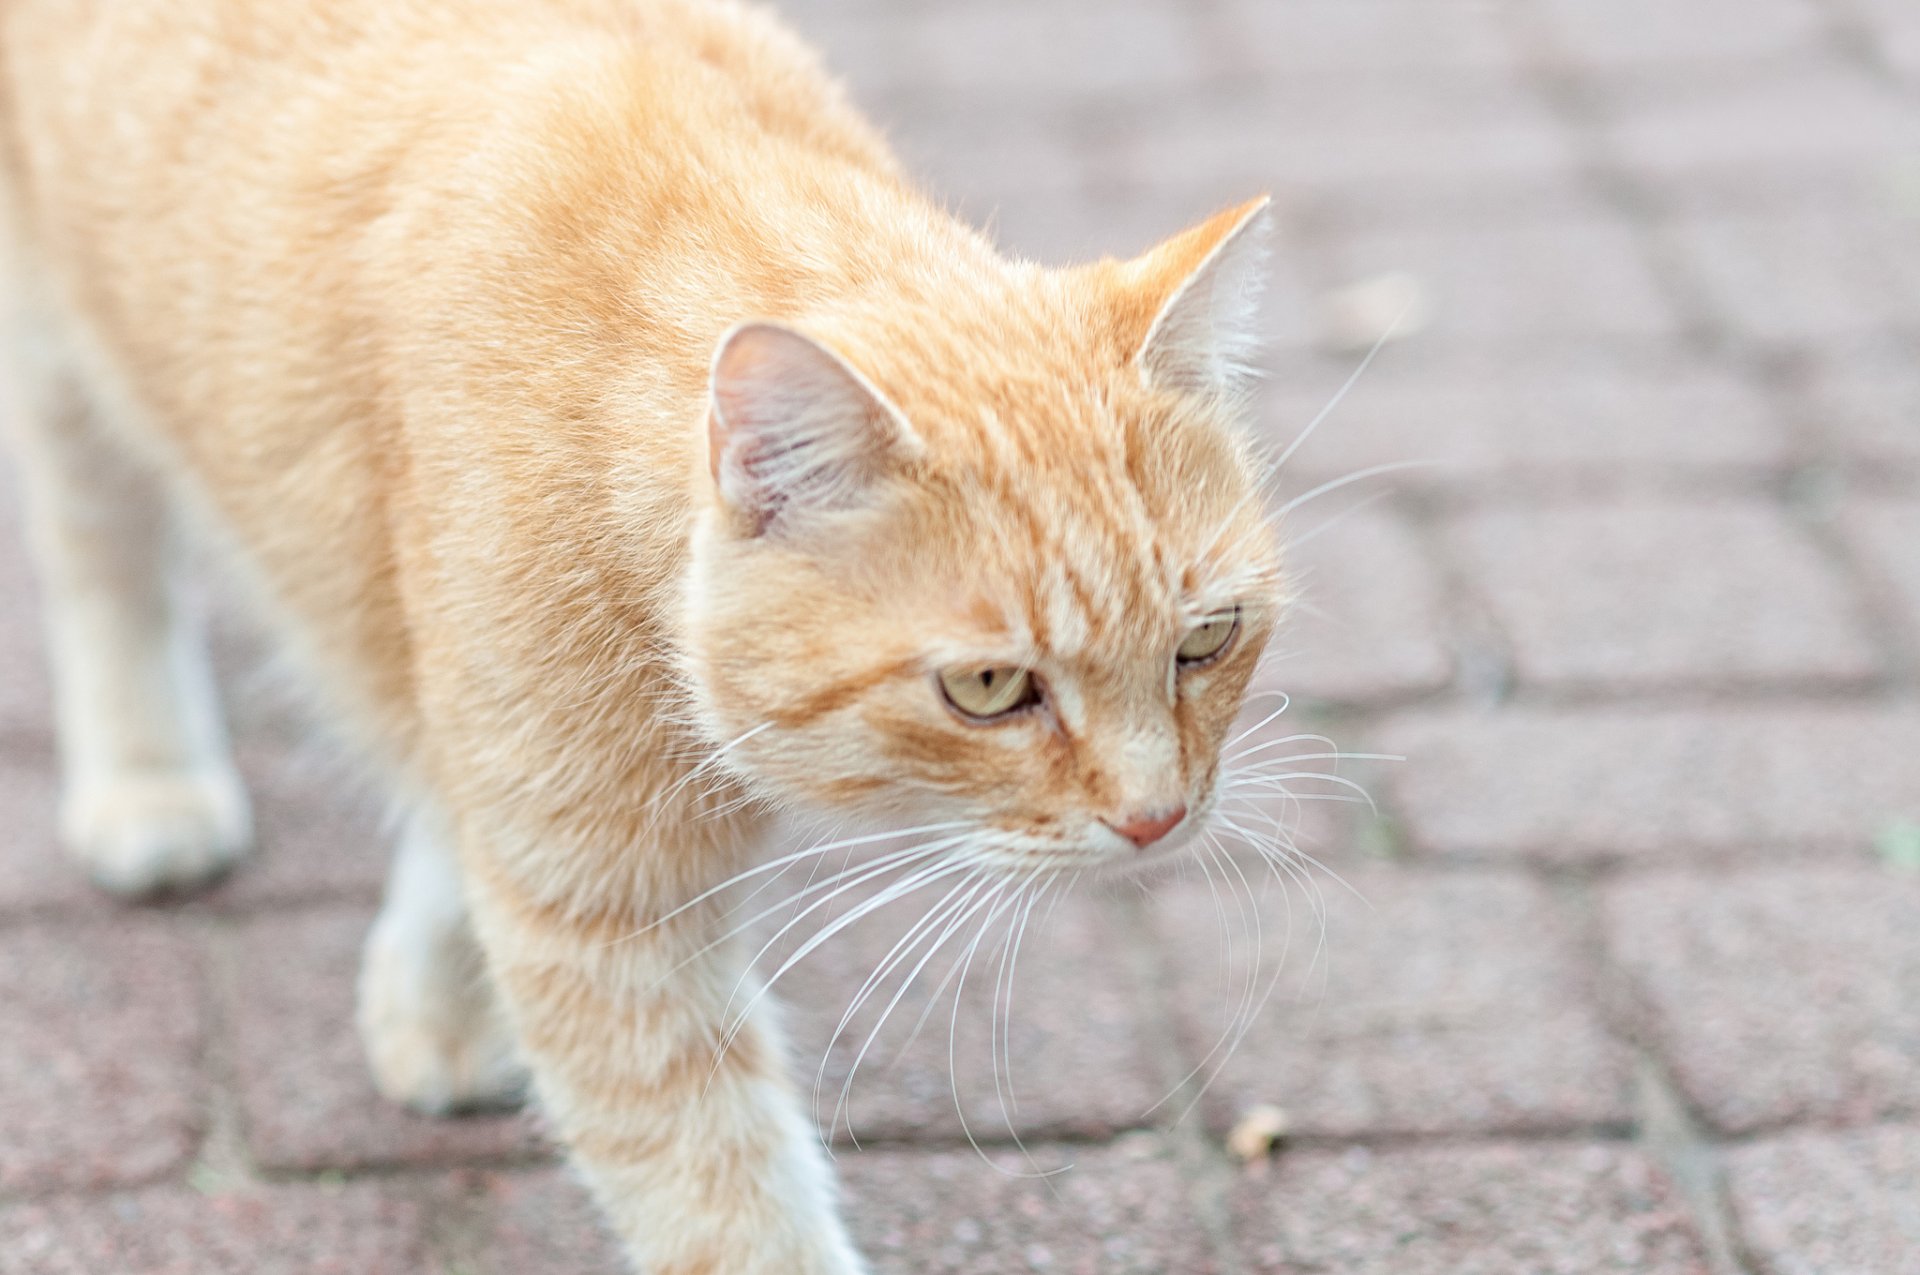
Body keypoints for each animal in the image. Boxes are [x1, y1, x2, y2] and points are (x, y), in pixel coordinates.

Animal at [3, 2, 1290, 1275]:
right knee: (102, 565)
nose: (1159, 820)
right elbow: (727, 1207)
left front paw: (437, 997)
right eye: (986, 687)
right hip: (64, 373)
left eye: (1207, 639)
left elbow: (444, 805)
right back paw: (148, 787)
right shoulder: (603, 922)